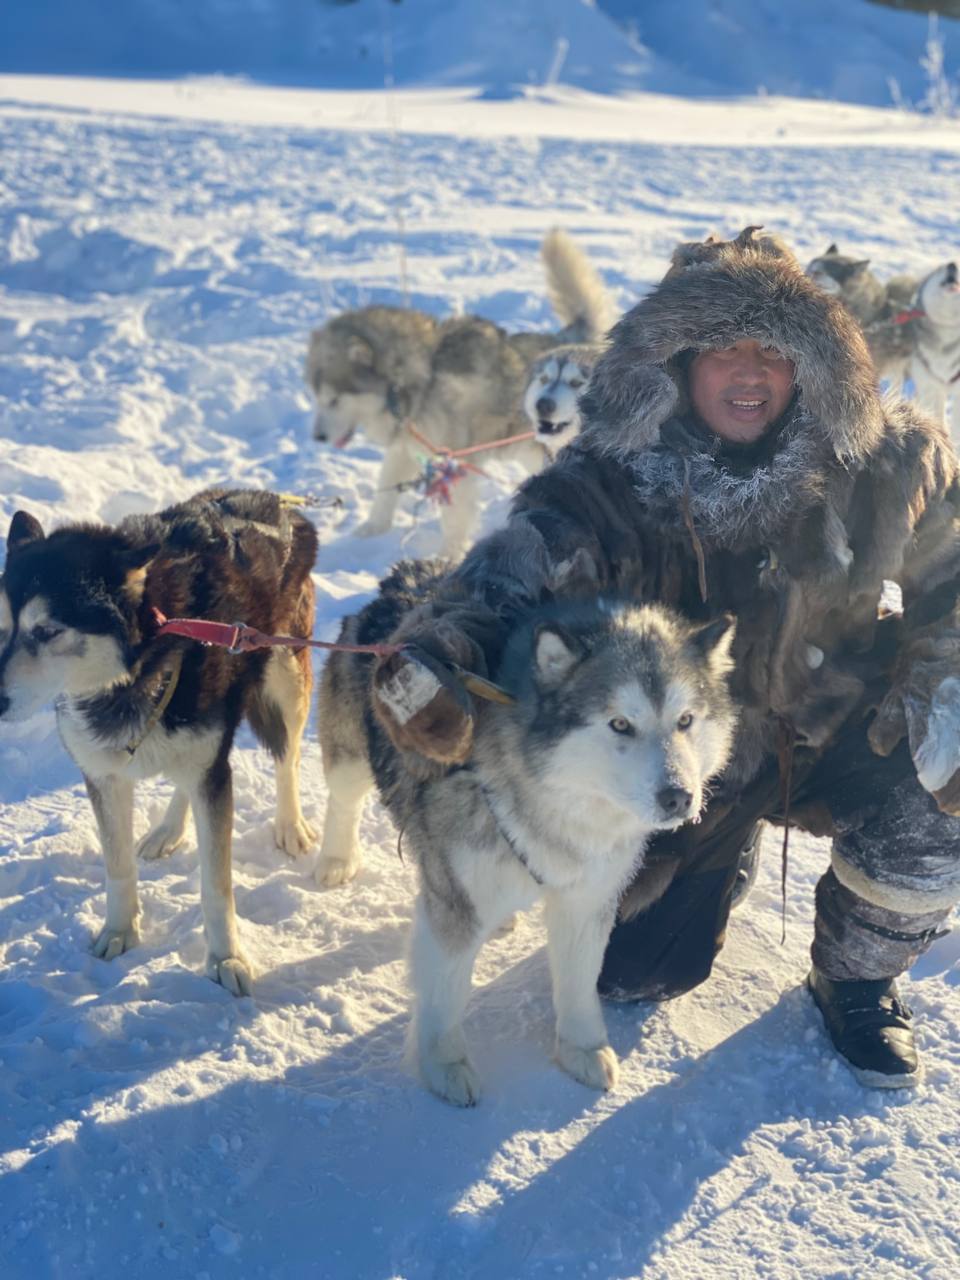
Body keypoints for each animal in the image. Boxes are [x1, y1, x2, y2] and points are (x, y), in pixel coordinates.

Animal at [0, 488, 321, 998]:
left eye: (47, 631)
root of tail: (275, 501)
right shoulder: (103, 776)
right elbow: (117, 867)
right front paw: (119, 931)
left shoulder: (213, 772)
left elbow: (216, 887)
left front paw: (226, 958)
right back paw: (169, 828)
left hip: (285, 681)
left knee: (286, 759)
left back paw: (290, 825)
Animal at [308, 232, 616, 558]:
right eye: (317, 396)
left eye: (334, 400)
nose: (318, 437)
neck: (424, 376)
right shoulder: (408, 445)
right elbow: (387, 483)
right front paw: (372, 528)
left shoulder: (453, 457)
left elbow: (455, 517)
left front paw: (448, 555)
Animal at [316, 565, 737, 1105]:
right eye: (620, 724)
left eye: (685, 720)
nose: (679, 797)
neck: (555, 804)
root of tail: (408, 576)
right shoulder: (455, 903)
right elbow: (445, 994)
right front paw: (444, 1065)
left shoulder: (588, 899)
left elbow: (579, 983)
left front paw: (582, 1049)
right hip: (351, 755)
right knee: (343, 799)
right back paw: (335, 859)